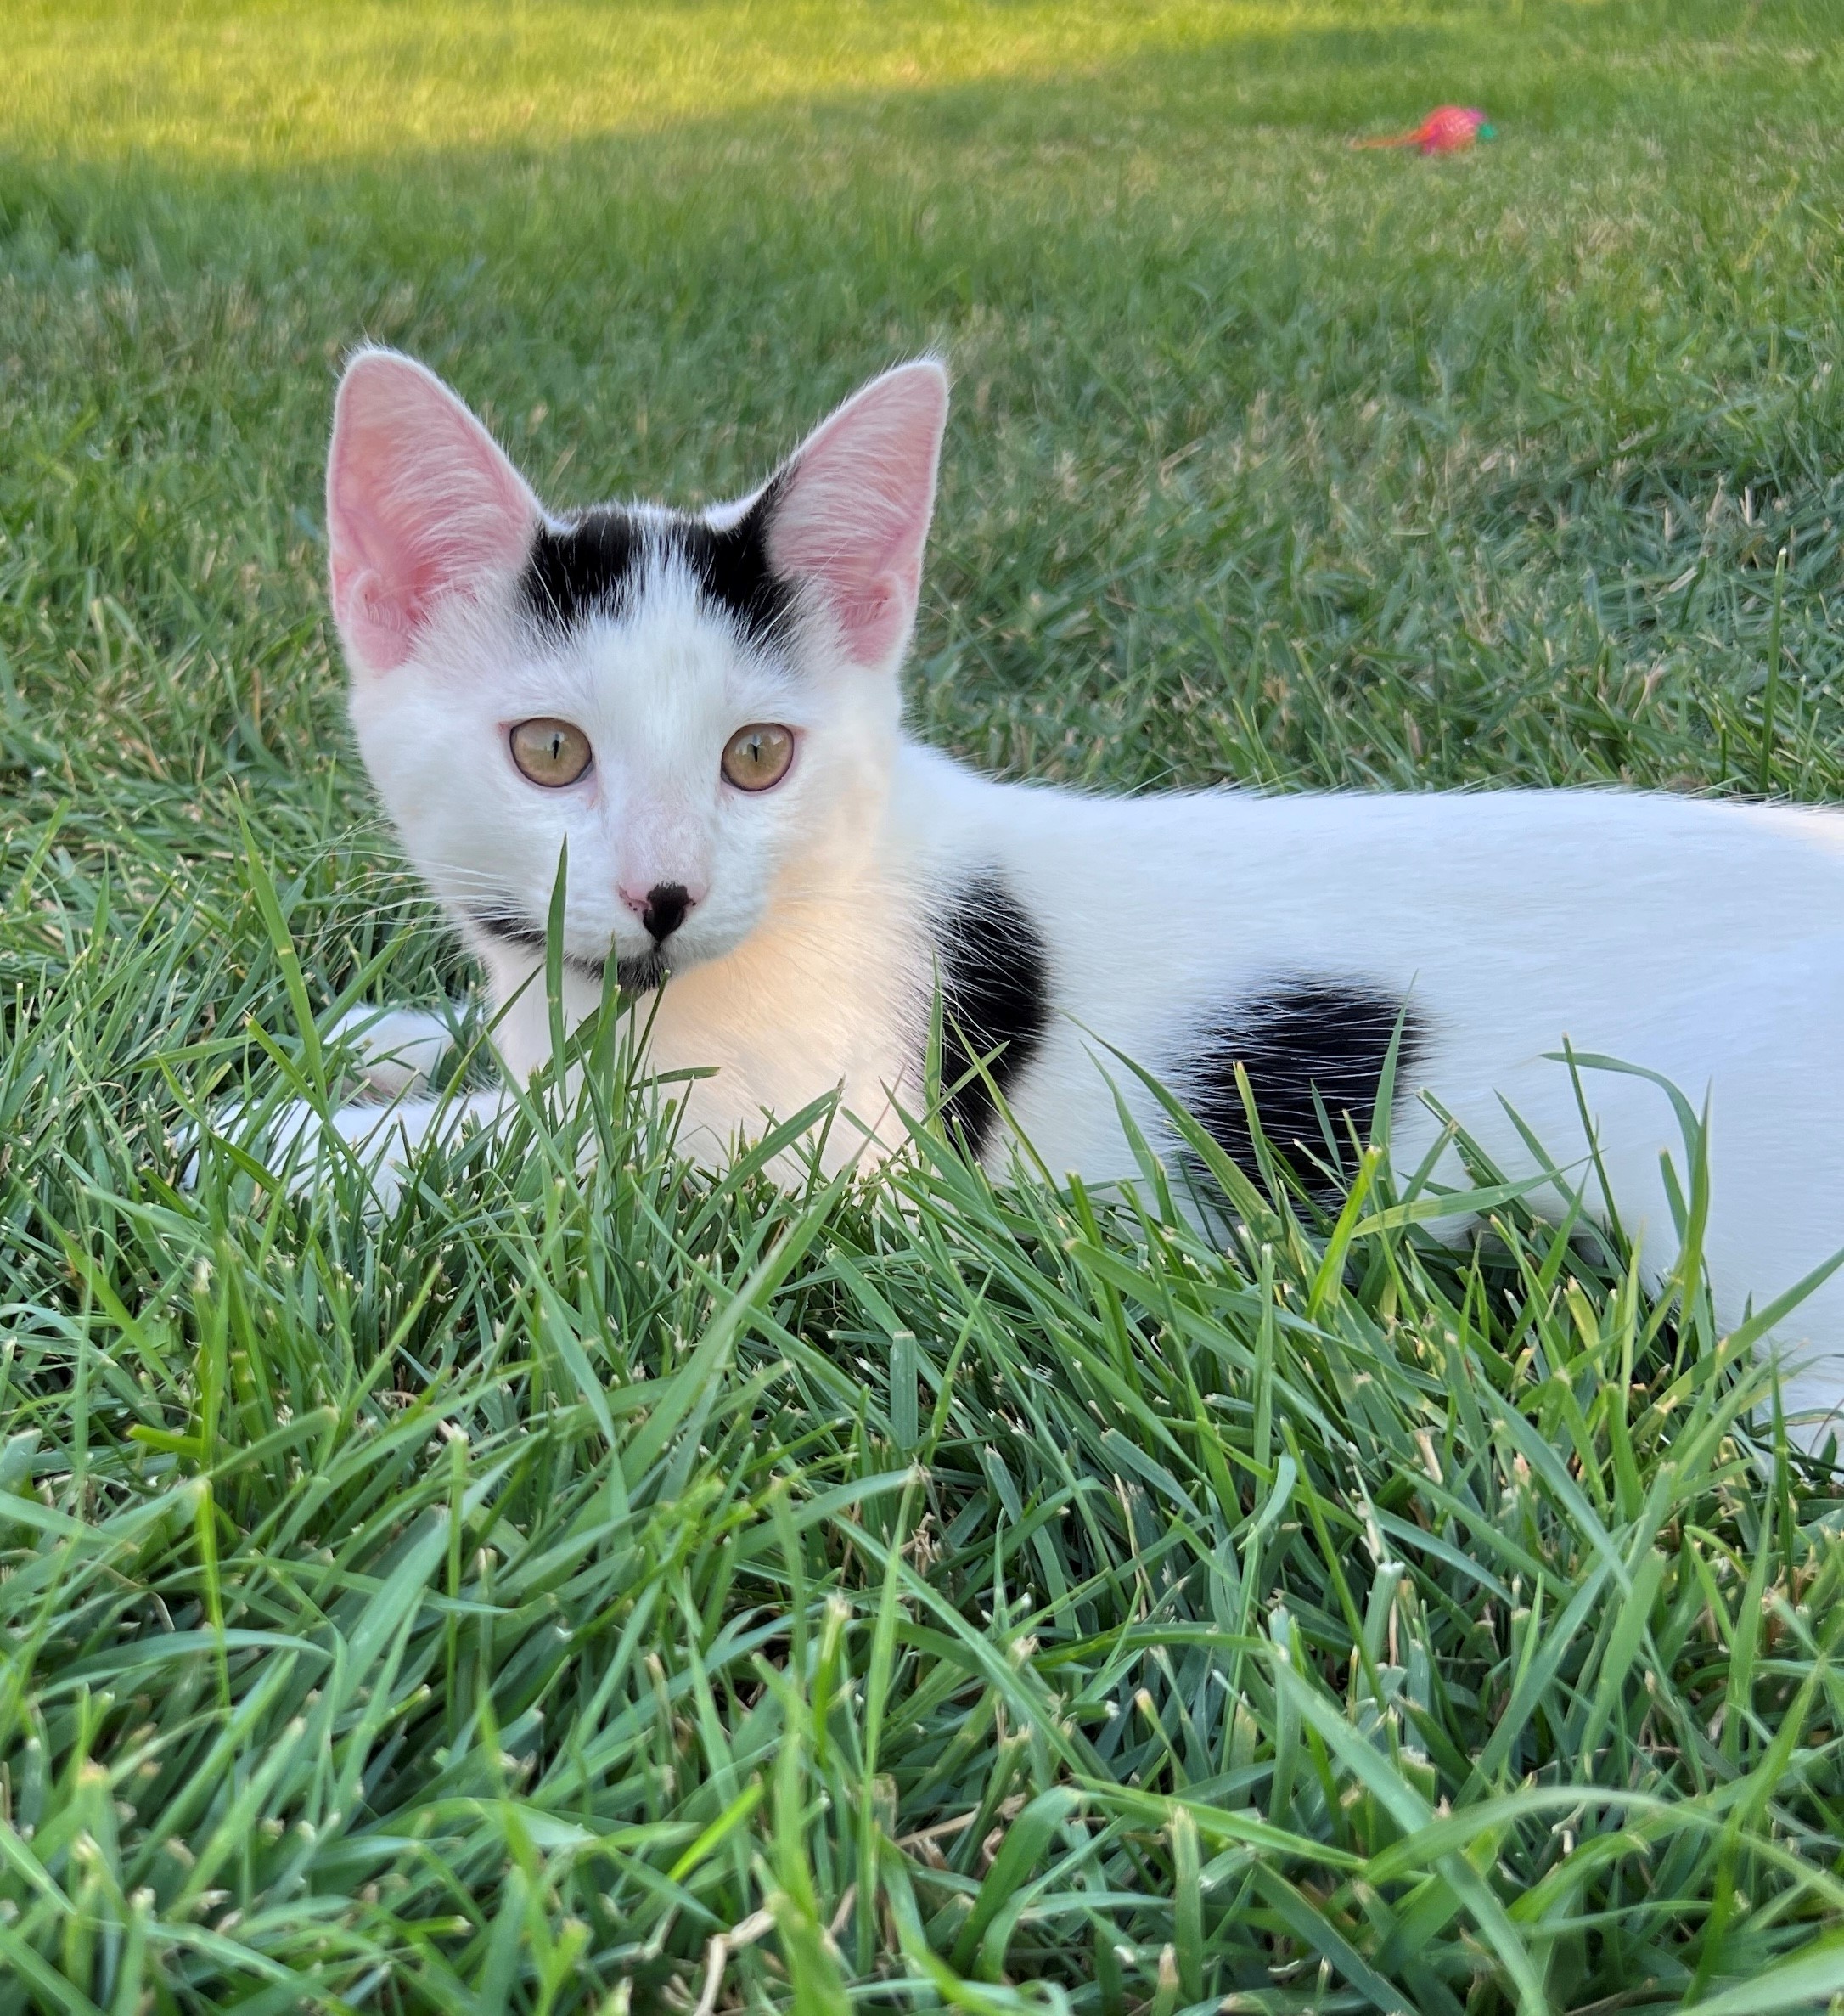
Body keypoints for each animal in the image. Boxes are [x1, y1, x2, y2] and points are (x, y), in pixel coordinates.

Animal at [263, 354, 1844, 1435]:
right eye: (549, 751)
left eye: (757, 755)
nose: (663, 890)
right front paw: (390, 1044)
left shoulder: (825, 1149)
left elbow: (566, 1155)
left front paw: (289, 1140)